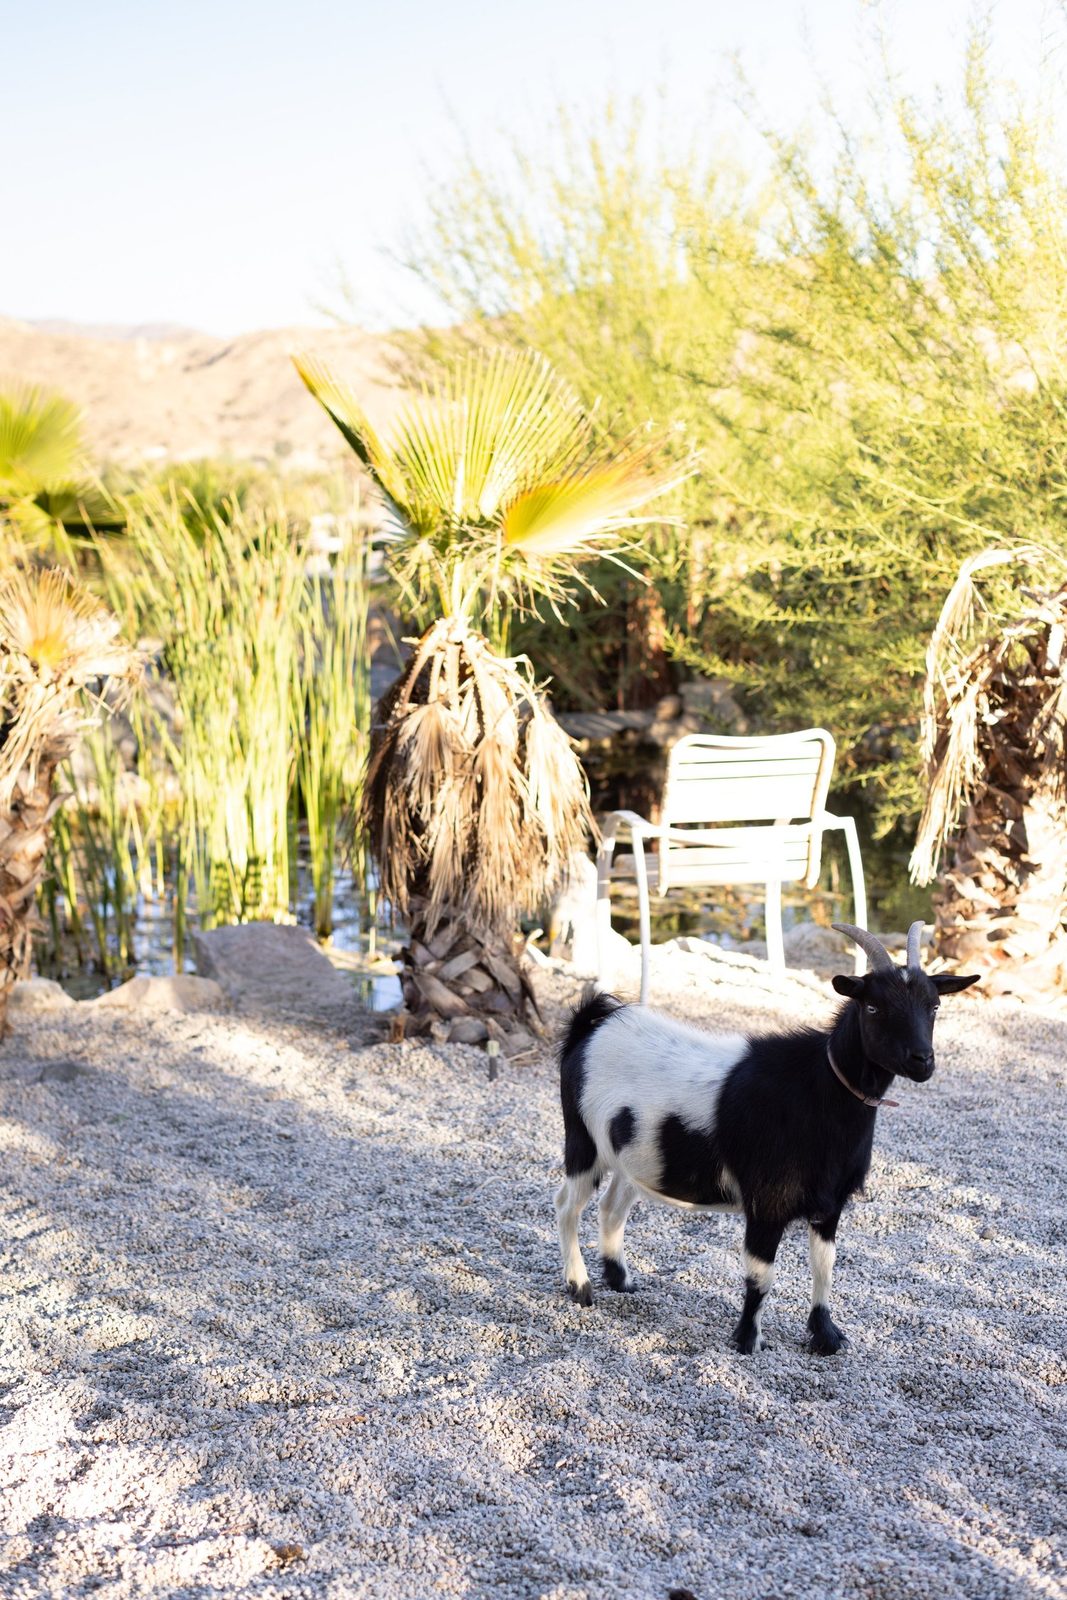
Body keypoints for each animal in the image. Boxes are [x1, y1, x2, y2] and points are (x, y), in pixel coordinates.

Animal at [554, 923, 979, 1354]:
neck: (817, 1090)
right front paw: (747, 1341)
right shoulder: (768, 1203)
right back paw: (580, 1286)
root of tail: (590, 1028)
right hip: (582, 1140)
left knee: (612, 1207)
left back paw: (620, 1280)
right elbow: (761, 1277)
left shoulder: (830, 1203)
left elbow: (824, 1267)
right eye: (874, 1007)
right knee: (567, 1206)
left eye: (934, 1006)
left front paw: (826, 1336)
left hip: (633, 1155)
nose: (922, 1061)